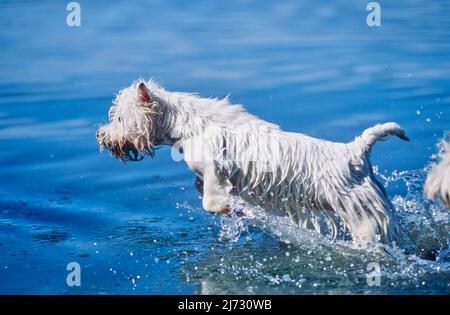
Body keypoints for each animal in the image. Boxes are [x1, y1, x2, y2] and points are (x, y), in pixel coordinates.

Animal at [96, 80, 410, 248]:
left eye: (120, 118)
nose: (101, 136)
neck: (188, 126)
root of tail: (357, 151)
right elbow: (202, 186)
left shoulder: (216, 166)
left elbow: (211, 199)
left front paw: (231, 207)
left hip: (363, 217)